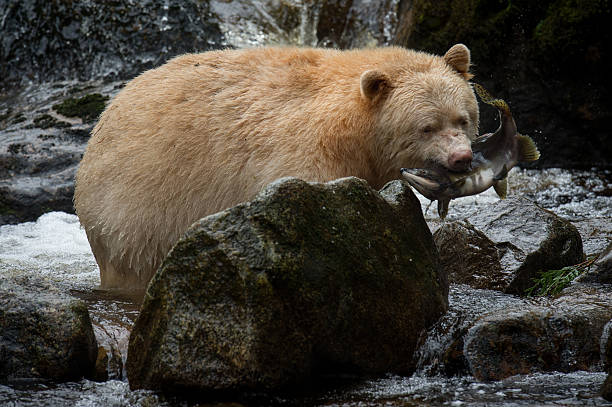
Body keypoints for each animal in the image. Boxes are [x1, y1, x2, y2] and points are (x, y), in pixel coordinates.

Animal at [75, 44, 478, 290]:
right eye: (427, 127)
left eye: (463, 118)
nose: (462, 158)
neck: (352, 130)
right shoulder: (303, 152)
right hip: (136, 214)